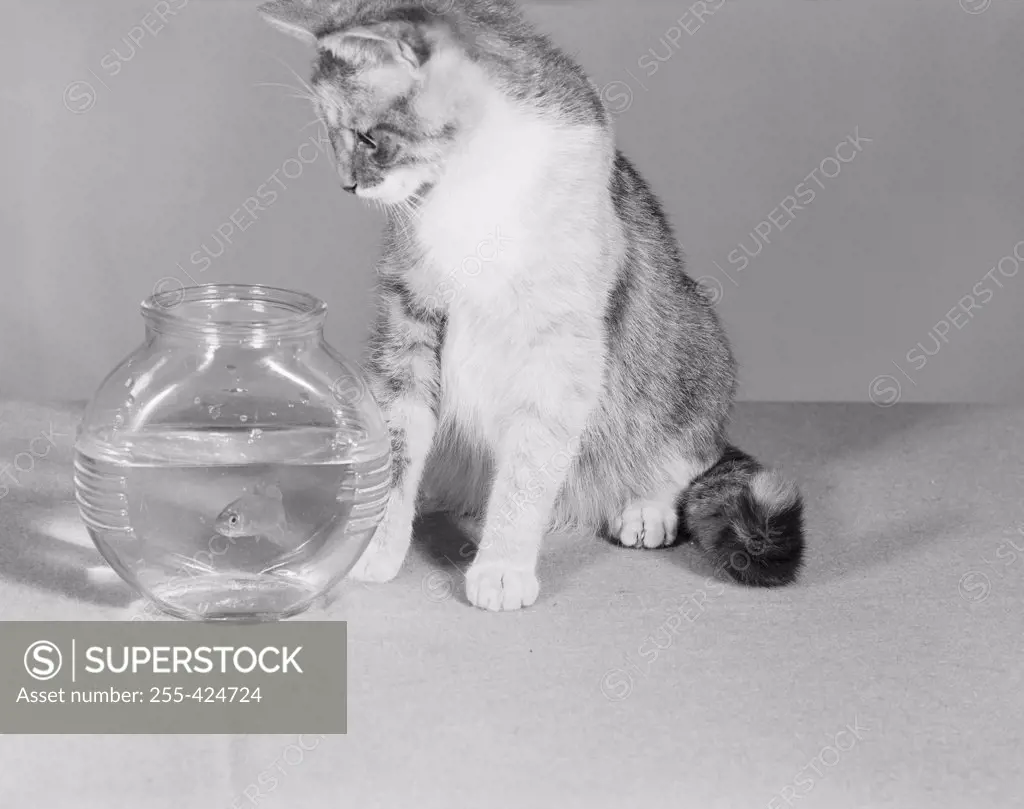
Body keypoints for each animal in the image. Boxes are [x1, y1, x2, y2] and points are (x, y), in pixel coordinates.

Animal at [260, 0, 802, 606]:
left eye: (368, 137)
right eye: (330, 135)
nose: (347, 185)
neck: (471, 182)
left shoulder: (559, 342)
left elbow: (528, 465)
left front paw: (502, 567)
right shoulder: (408, 317)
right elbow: (398, 441)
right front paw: (374, 543)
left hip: (693, 349)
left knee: (691, 452)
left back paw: (646, 507)